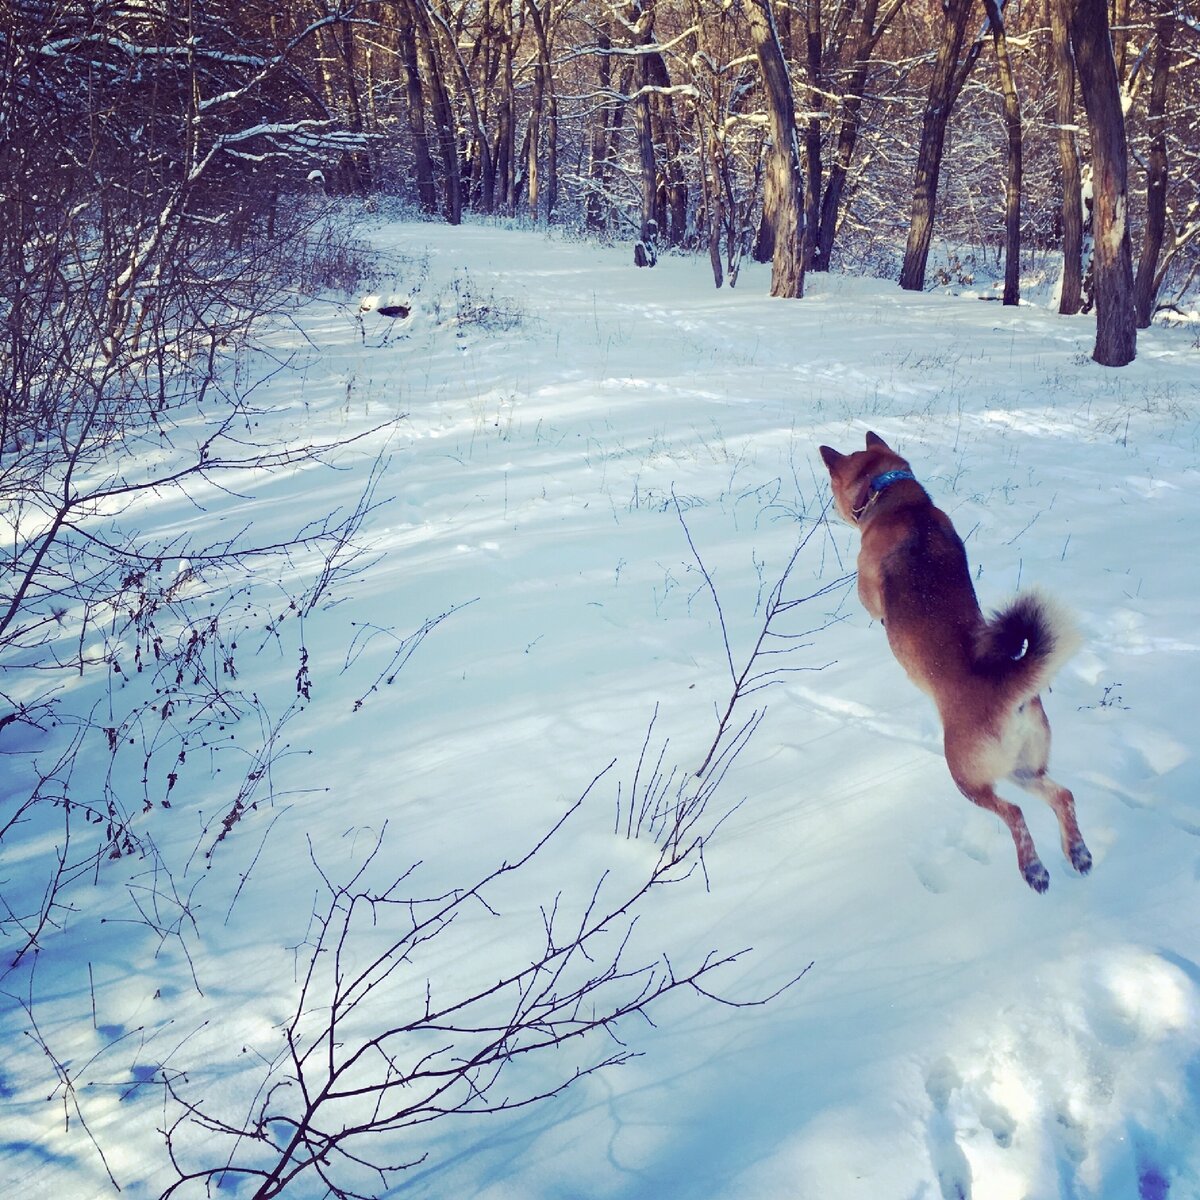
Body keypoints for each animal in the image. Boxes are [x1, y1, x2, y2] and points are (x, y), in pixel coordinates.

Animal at [820, 432, 1094, 892]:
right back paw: (1077, 852)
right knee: (1062, 796)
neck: (897, 498)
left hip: (967, 774)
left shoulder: (868, 590)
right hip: (1022, 767)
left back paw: (1033, 868)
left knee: (1013, 813)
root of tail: (1010, 688)